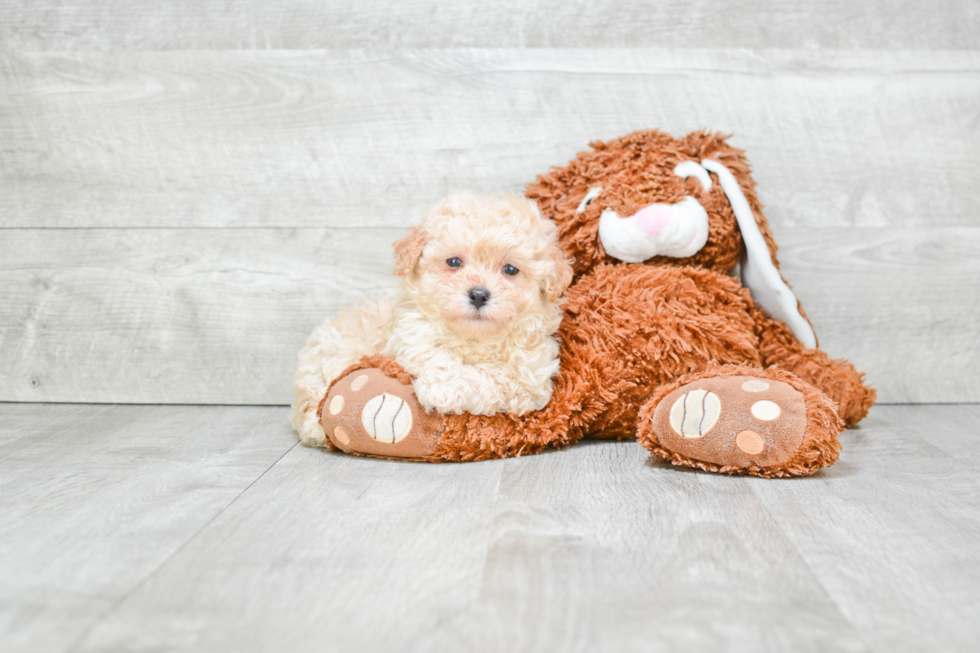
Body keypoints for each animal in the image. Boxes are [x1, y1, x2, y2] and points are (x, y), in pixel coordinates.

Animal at [288, 192, 576, 448]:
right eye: (454, 262)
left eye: (510, 269)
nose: (479, 294)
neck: (474, 338)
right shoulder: (411, 335)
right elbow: (436, 356)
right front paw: (443, 386)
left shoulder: (532, 378)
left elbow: (496, 377)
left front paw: (445, 390)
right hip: (325, 362)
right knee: (309, 403)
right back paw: (315, 430)